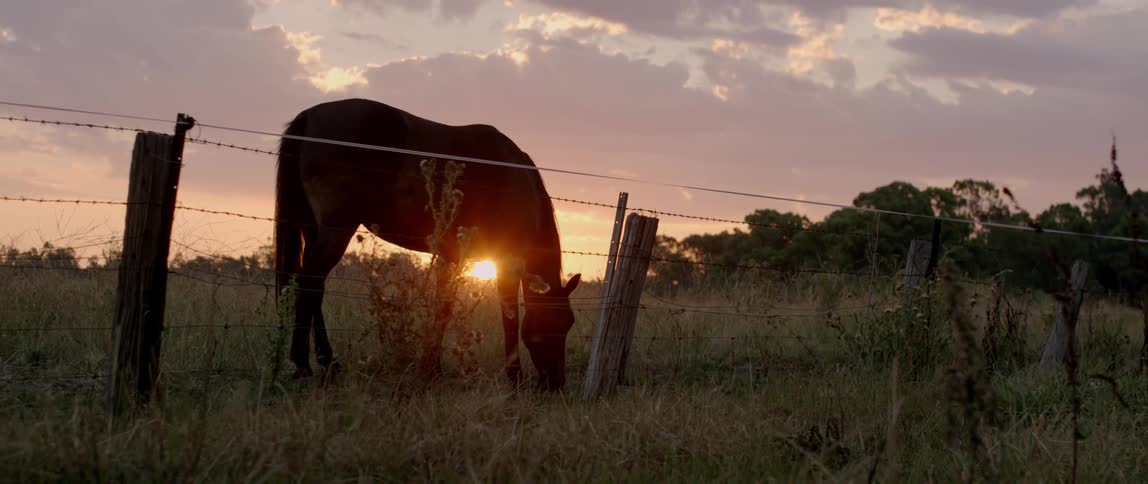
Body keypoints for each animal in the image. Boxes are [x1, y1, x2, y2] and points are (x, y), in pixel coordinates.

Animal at [273, 98, 581, 391]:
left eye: (569, 323)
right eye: (555, 322)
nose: (555, 384)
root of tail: (310, 116)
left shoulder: (450, 257)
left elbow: (442, 309)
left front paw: (432, 369)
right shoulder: (504, 262)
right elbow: (508, 317)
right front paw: (513, 378)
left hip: (315, 232)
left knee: (313, 290)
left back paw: (327, 364)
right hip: (336, 232)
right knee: (309, 284)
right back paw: (305, 366)